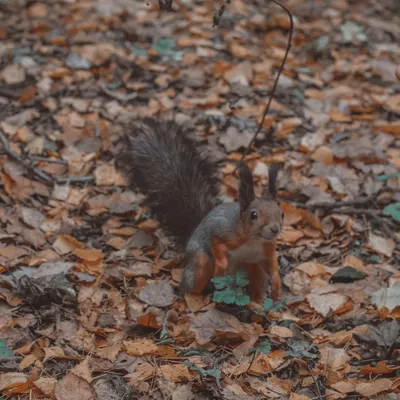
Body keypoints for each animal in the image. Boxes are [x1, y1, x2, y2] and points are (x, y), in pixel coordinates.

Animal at [116, 119, 284, 304]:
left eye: (282, 213)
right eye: (253, 215)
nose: (275, 229)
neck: (254, 239)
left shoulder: (268, 249)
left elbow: (273, 268)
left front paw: (277, 287)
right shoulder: (224, 231)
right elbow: (215, 242)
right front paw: (221, 266)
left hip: (253, 268)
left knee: (257, 280)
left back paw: (257, 304)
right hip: (200, 262)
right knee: (189, 285)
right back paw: (196, 299)